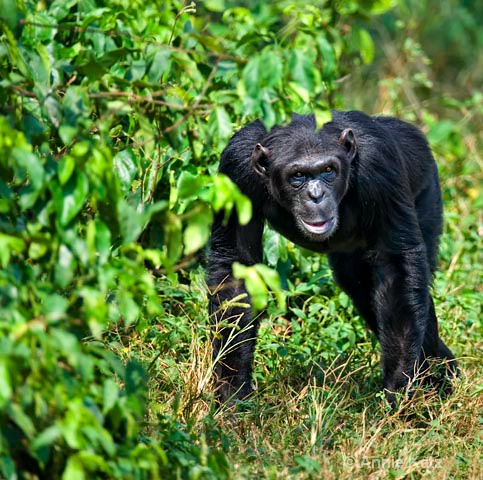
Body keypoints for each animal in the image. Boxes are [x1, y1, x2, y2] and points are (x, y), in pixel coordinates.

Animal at [207, 111, 458, 404]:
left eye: (328, 170)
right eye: (298, 176)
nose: (316, 195)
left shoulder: (380, 163)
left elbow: (396, 265)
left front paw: (398, 389)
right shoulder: (236, 168)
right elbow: (236, 269)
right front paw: (232, 390)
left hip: (427, 190)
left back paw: (441, 379)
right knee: (362, 290)